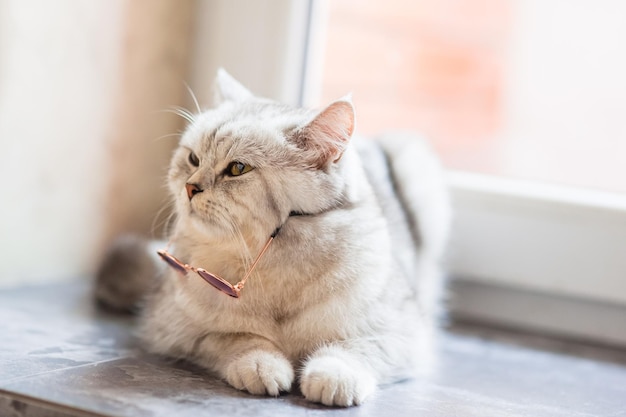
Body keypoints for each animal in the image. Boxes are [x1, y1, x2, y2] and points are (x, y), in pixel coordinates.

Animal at [95, 69, 448, 406]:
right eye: (193, 159)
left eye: (238, 169)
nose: (190, 187)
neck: (273, 266)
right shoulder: (172, 328)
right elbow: (236, 338)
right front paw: (261, 364)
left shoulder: (402, 333)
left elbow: (355, 349)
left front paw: (333, 376)